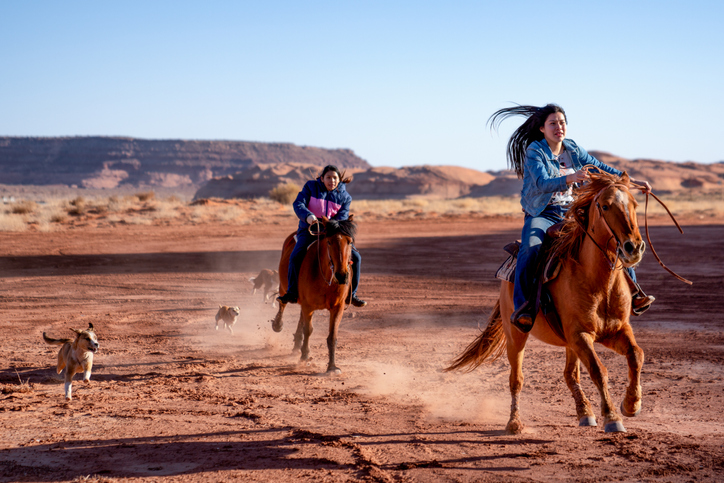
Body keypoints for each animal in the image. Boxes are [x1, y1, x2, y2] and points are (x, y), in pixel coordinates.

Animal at [270, 217, 358, 376]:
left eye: (349, 241)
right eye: (329, 242)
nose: (342, 275)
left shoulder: (338, 307)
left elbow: (332, 336)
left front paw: (332, 367)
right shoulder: (308, 305)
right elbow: (308, 330)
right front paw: (304, 357)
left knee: (300, 317)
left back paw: (297, 345)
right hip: (284, 288)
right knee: (283, 304)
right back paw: (278, 325)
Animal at [450, 173, 648, 434]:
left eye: (635, 204)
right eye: (605, 206)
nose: (633, 248)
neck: (599, 282)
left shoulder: (616, 330)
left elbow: (636, 354)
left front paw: (631, 404)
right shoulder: (580, 335)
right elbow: (599, 370)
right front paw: (612, 417)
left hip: (568, 343)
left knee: (570, 374)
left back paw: (585, 413)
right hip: (516, 335)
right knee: (516, 379)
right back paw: (514, 423)